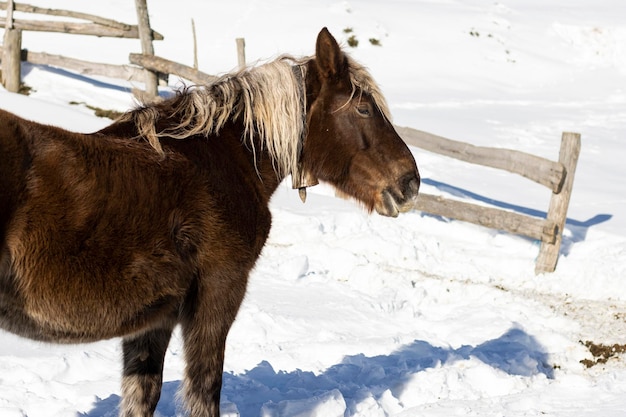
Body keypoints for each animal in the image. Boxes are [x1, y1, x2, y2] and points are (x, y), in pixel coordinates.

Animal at [1, 27, 420, 414]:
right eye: (363, 108)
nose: (410, 181)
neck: (224, 162)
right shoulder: (218, 292)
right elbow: (205, 388)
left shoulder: (153, 319)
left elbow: (142, 394)